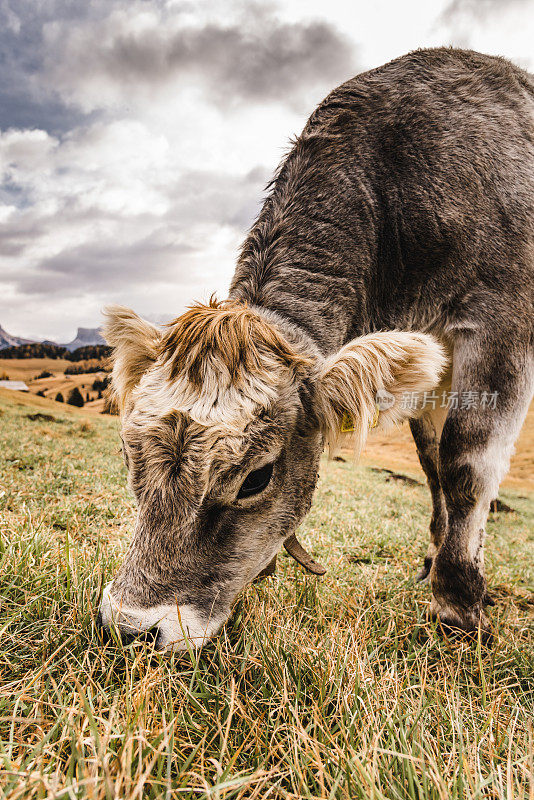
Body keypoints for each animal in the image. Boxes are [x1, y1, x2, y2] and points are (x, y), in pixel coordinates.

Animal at [97, 48, 534, 648]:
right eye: (128, 455)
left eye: (257, 478)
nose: (131, 628)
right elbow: (434, 463)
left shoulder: (502, 319)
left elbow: (466, 464)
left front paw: (459, 606)